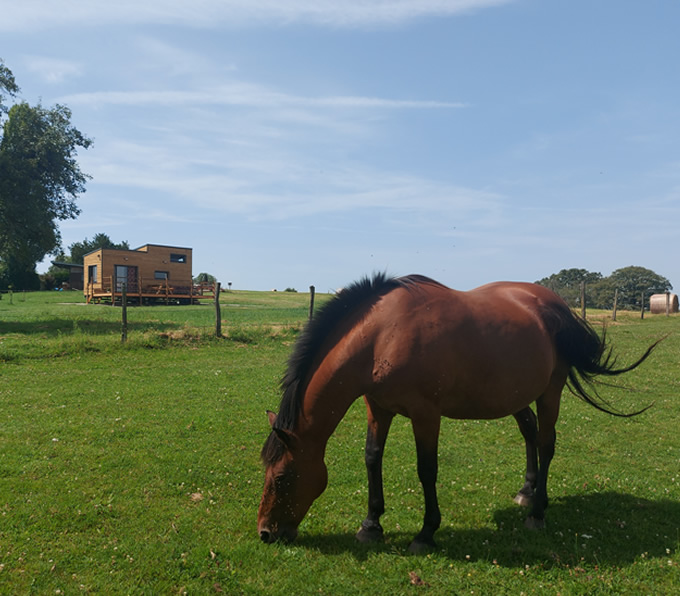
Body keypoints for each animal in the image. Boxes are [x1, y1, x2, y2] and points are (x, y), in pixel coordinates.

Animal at [258, 274, 656, 556]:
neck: (382, 336)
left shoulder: (425, 414)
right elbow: (372, 458)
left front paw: (426, 533)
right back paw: (526, 492)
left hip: (550, 391)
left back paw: (538, 512)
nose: (265, 533)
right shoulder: (378, 408)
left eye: (282, 478)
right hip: (515, 394)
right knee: (530, 433)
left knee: (546, 443)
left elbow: (427, 470)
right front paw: (371, 525)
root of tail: (554, 303)